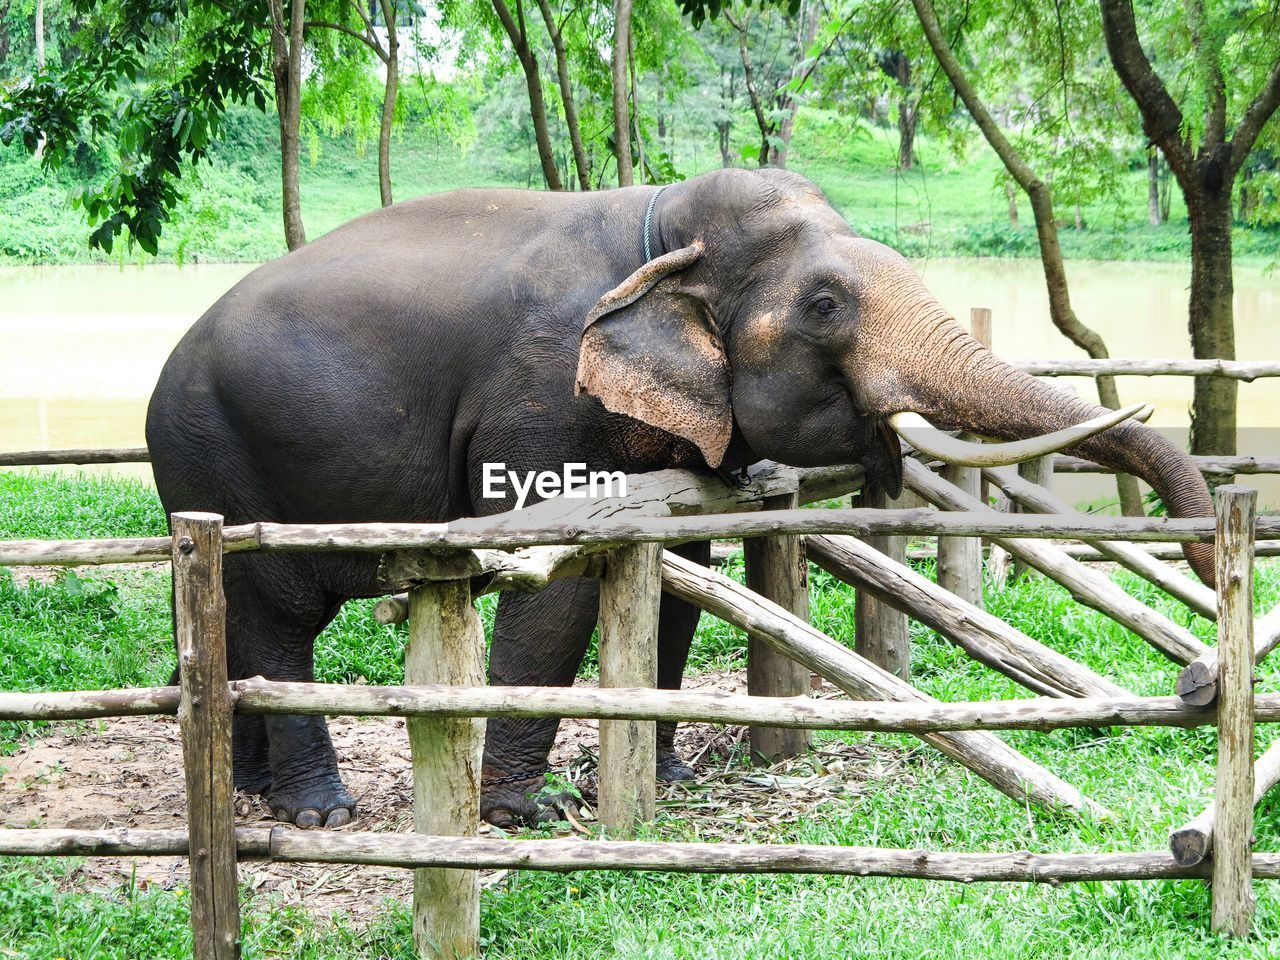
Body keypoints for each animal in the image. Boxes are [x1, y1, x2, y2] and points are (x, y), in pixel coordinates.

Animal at [145, 163, 1213, 829]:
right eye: (825, 305)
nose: (1204, 546)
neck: (660, 224)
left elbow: (683, 569)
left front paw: (672, 774)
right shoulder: (543, 394)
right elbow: (557, 581)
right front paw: (525, 815)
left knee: (237, 616)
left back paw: (256, 795)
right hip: (221, 458)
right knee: (280, 613)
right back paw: (319, 811)